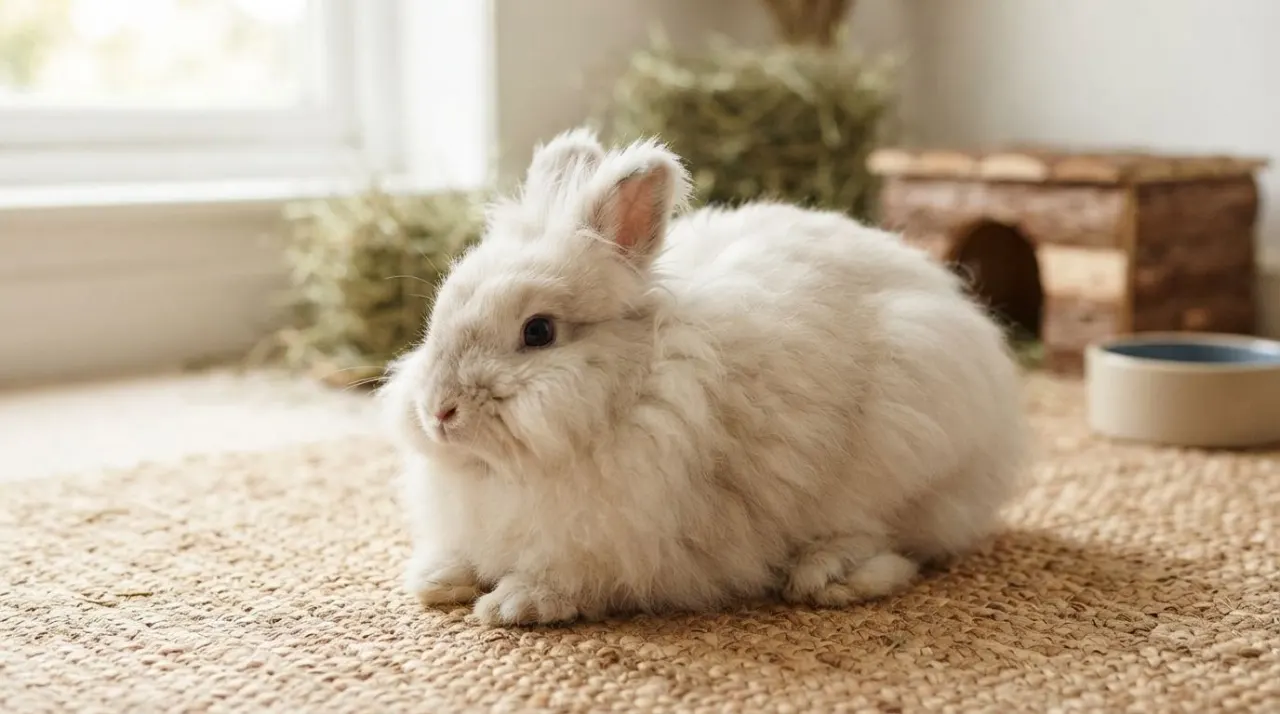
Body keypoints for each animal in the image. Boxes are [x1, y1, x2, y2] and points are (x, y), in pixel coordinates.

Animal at [378, 127, 1031, 627]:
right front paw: (436, 579)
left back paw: (827, 573)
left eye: (538, 331)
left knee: (901, 544)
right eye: (439, 311)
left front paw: (512, 605)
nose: (438, 412)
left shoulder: (609, 541)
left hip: (903, 453)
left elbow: (566, 578)